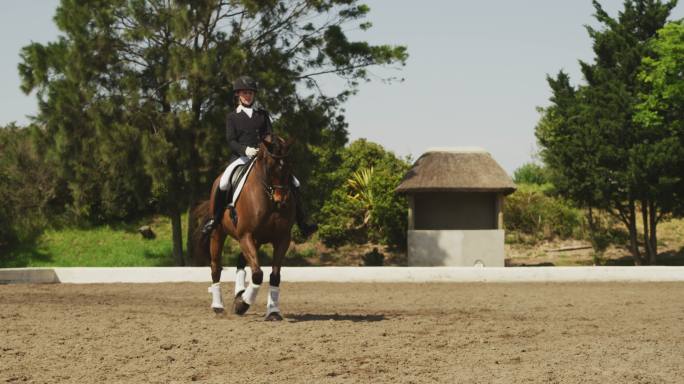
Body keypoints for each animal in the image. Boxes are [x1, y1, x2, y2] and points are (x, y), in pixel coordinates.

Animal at [191, 135, 296, 320]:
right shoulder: (246, 235)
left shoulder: (282, 239)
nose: (281, 201)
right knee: (216, 267)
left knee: (241, 261)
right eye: (270, 167)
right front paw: (243, 305)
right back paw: (219, 306)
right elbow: (258, 274)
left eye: (289, 165)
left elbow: (274, 276)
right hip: (219, 234)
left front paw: (273, 311)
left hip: (256, 240)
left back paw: (239, 293)